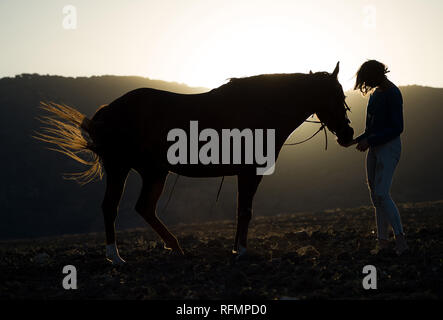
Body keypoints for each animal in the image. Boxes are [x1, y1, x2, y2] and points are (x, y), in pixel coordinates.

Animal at [33, 61, 354, 264]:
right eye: (335, 95)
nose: (349, 133)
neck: (260, 107)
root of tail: (106, 112)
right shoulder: (249, 172)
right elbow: (245, 211)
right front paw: (242, 251)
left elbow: (242, 210)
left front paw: (236, 250)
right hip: (121, 168)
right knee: (111, 208)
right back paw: (116, 257)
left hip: (153, 172)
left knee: (144, 208)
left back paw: (175, 247)